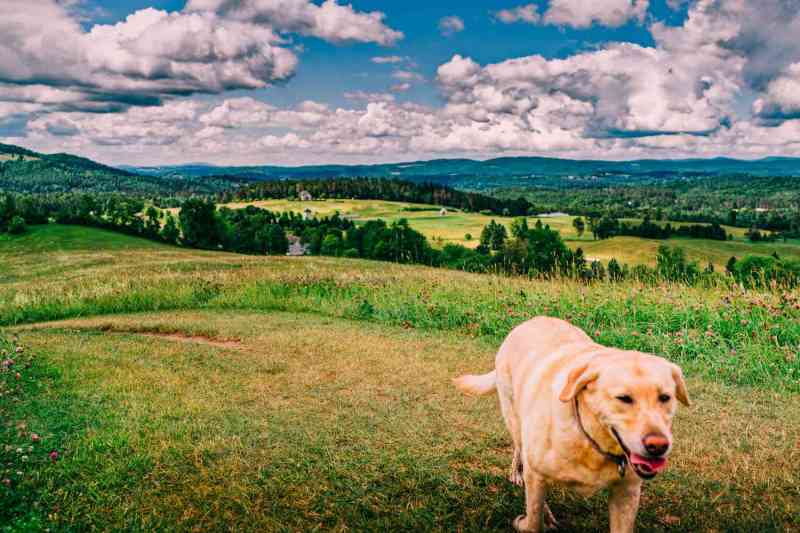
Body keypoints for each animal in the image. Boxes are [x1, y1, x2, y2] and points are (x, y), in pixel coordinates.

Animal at [454, 318, 692, 528]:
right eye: (624, 398)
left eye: (665, 397)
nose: (658, 446)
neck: (590, 442)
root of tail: (530, 320)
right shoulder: (536, 477)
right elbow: (533, 519)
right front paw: (532, 520)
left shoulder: (627, 492)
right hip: (513, 415)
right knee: (519, 447)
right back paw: (518, 475)